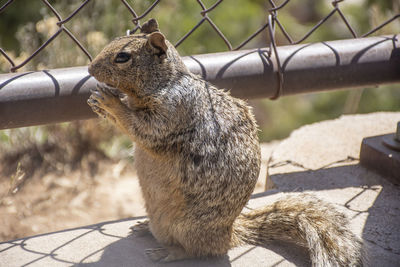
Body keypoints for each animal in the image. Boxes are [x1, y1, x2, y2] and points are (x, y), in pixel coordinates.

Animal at [86, 18, 366, 266]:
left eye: (123, 57)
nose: (89, 69)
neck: (165, 82)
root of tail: (229, 234)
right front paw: (97, 102)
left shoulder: (174, 111)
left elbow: (144, 130)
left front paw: (110, 102)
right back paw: (144, 226)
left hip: (187, 227)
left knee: (198, 251)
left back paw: (169, 252)